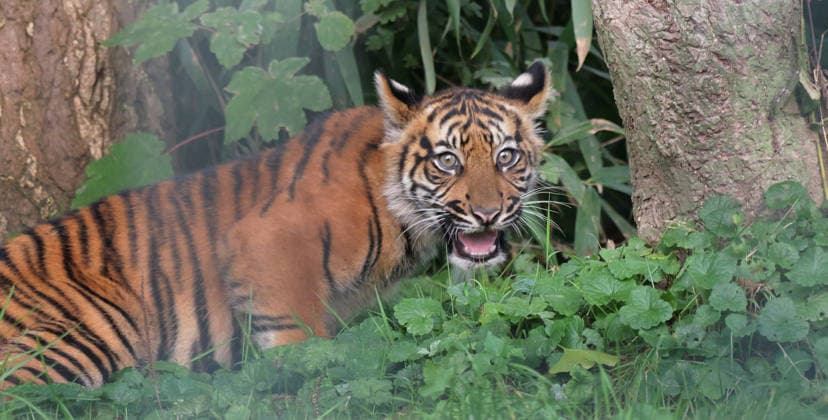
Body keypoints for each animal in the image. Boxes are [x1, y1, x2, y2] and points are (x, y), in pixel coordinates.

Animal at [0, 61, 551, 388]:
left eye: (506, 156)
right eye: (447, 162)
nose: (487, 212)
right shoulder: (268, 243)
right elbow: (302, 341)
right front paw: (306, 383)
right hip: (92, 329)